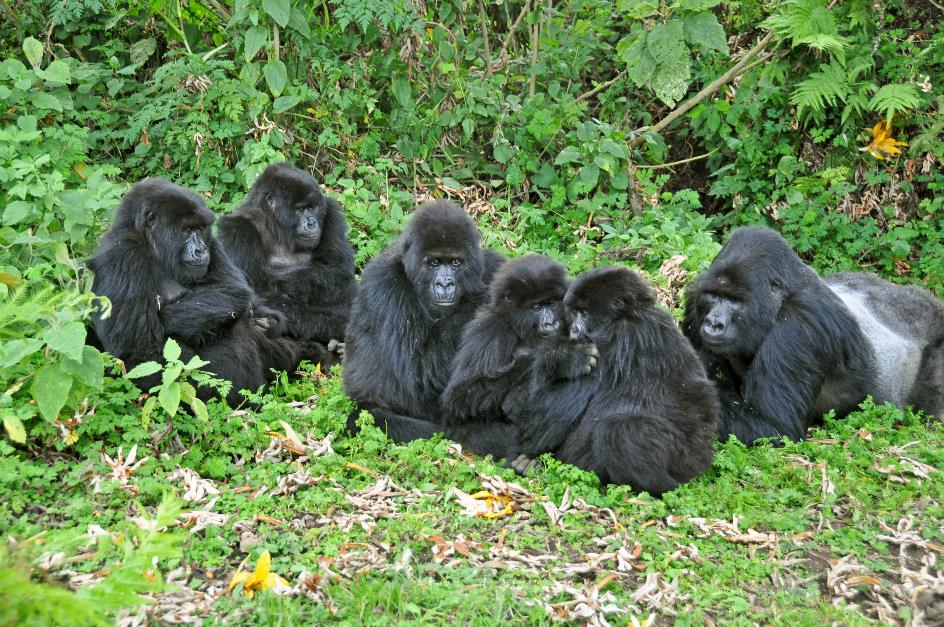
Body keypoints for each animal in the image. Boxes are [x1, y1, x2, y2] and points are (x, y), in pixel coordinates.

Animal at [88, 180, 324, 408]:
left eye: (200, 229)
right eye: (186, 230)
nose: (201, 250)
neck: (150, 245)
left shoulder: (214, 242)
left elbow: (237, 290)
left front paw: (271, 321)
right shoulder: (123, 255)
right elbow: (137, 349)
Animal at [218, 162, 358, 354]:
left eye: (312, 208)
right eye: (299, 210)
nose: (312, 223)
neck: (274, 225)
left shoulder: (331, 211)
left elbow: (336, 269)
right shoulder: (236, 229)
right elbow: (251, 290)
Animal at [342, 204, 512, 458]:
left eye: (455, 263)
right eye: (434, 263)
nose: (445, 284)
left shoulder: (491, 262)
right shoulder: (385, 285)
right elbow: (421, 370)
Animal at [506, 268, 720, 498]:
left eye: (583, 313)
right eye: (574, 313)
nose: (573, 331)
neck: (631, 313)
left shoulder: (619, 336)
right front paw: (563, 357)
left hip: (685, 460)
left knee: (620, 430)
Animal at [684, 228, 944, 444]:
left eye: (735, 301)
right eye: (713, 296)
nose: (713, 323)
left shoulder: (801, 323)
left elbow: (772, 427)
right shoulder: (696, 299)